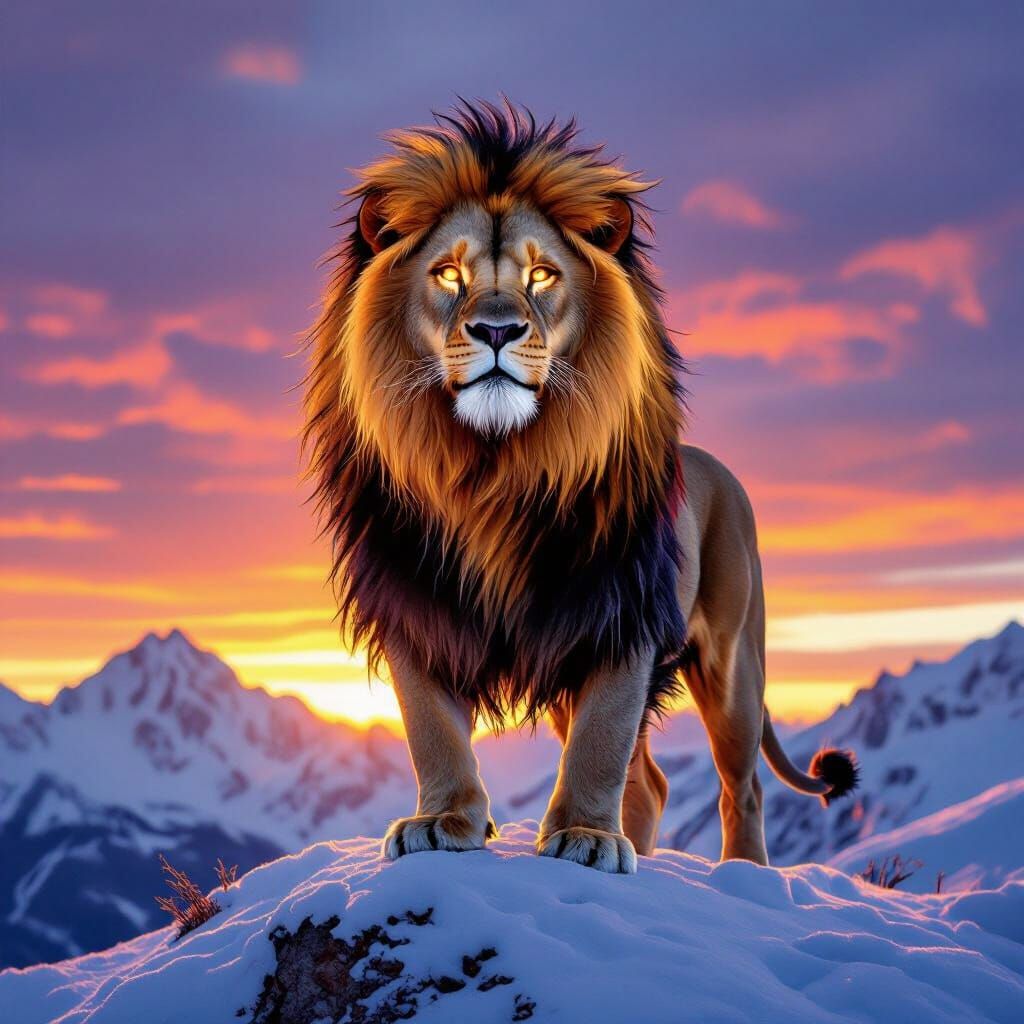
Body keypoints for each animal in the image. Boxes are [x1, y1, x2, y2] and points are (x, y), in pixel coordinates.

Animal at [303, 101, 857, 873]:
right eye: (447, 275)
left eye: (542, 277)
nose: (497, 330)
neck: (493, 471)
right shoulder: (416, 605)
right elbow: (431, 729)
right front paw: (442, 822)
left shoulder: (616, 613)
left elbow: (601, 739)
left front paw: (587, 838)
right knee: (651, 781)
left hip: (733, 666)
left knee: (738, 784)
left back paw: (744, 872)